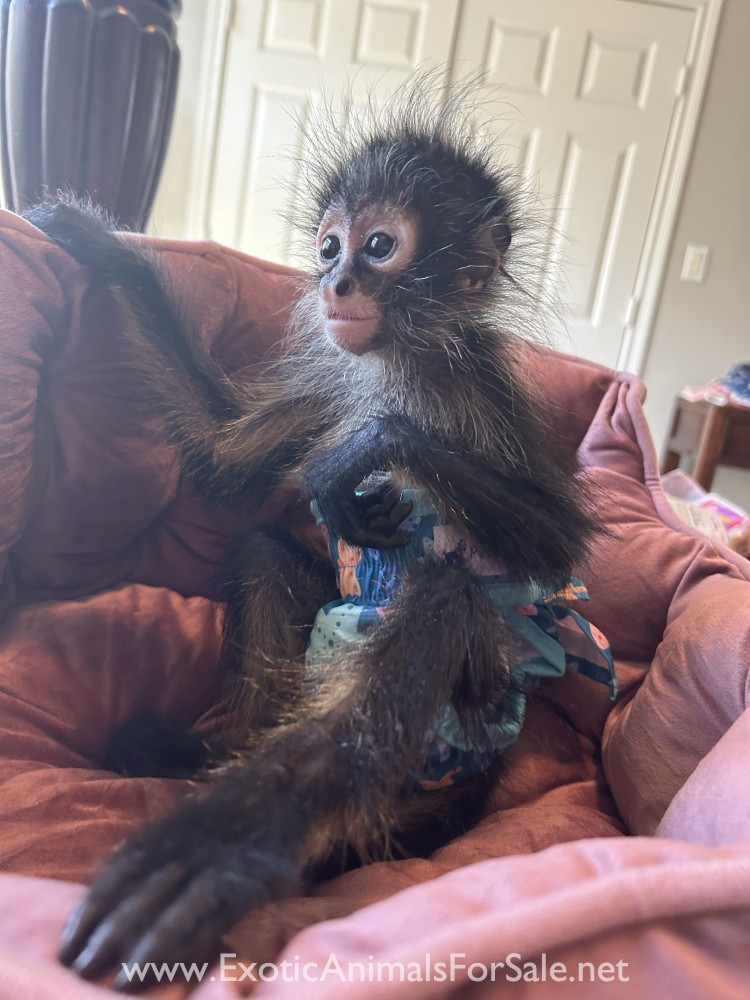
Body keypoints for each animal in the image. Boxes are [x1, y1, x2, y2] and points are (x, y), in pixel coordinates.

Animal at [21, 80, 615, 988]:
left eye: (380, 246)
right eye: (330, 244)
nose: (336, 281)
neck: (398, 364)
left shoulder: (474, 386)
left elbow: (553, 548)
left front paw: (372, 446)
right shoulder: (339, 373)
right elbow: (223, 462)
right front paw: (99, 245)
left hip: (471, 723)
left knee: (445, 597)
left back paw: (221, 852)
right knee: (266, 551)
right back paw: (208, 761)